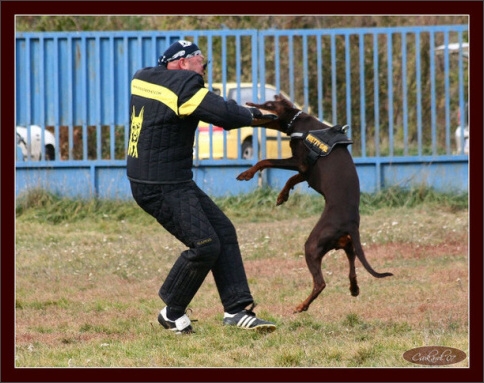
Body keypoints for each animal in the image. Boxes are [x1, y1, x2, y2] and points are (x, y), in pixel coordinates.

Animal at [238, 94, 394, 314]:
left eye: (268, 105)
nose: (249, 104)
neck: (298, 122)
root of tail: (351, 224)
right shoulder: (306, 171)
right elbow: (292, 179)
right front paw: (282, 196)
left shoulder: (300, 162)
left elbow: (266, 160)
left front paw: (247, 174)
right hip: (341, 242)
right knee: (350, 257)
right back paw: (353, 288)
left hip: (313, 244)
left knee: (321, 282)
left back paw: (302, 306)